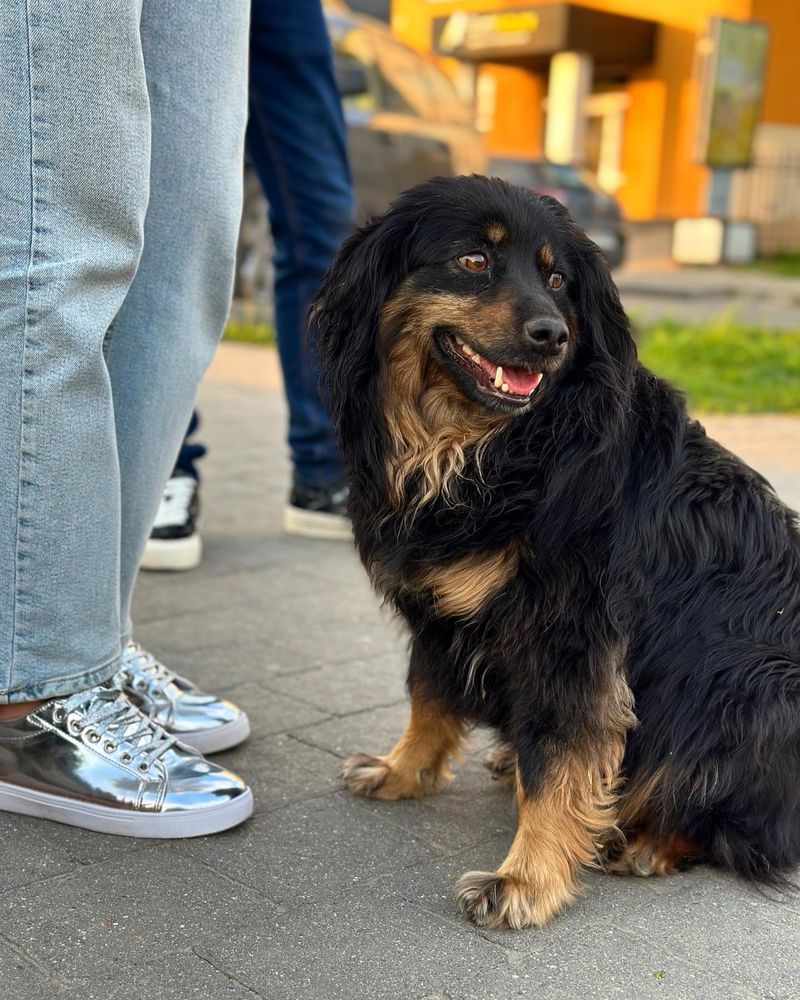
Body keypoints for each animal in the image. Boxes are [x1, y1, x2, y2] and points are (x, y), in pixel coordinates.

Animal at [310, 174, 800, 928]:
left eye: (558, 279)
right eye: (474, 260)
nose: (551, 336)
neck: (479, 447)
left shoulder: (570, 635)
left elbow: (561, 758)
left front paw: (527, 878)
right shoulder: (440, 609)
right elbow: (427, 692)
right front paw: (402, 771)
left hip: (751, 689)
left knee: (744, 825)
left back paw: (649, 842)